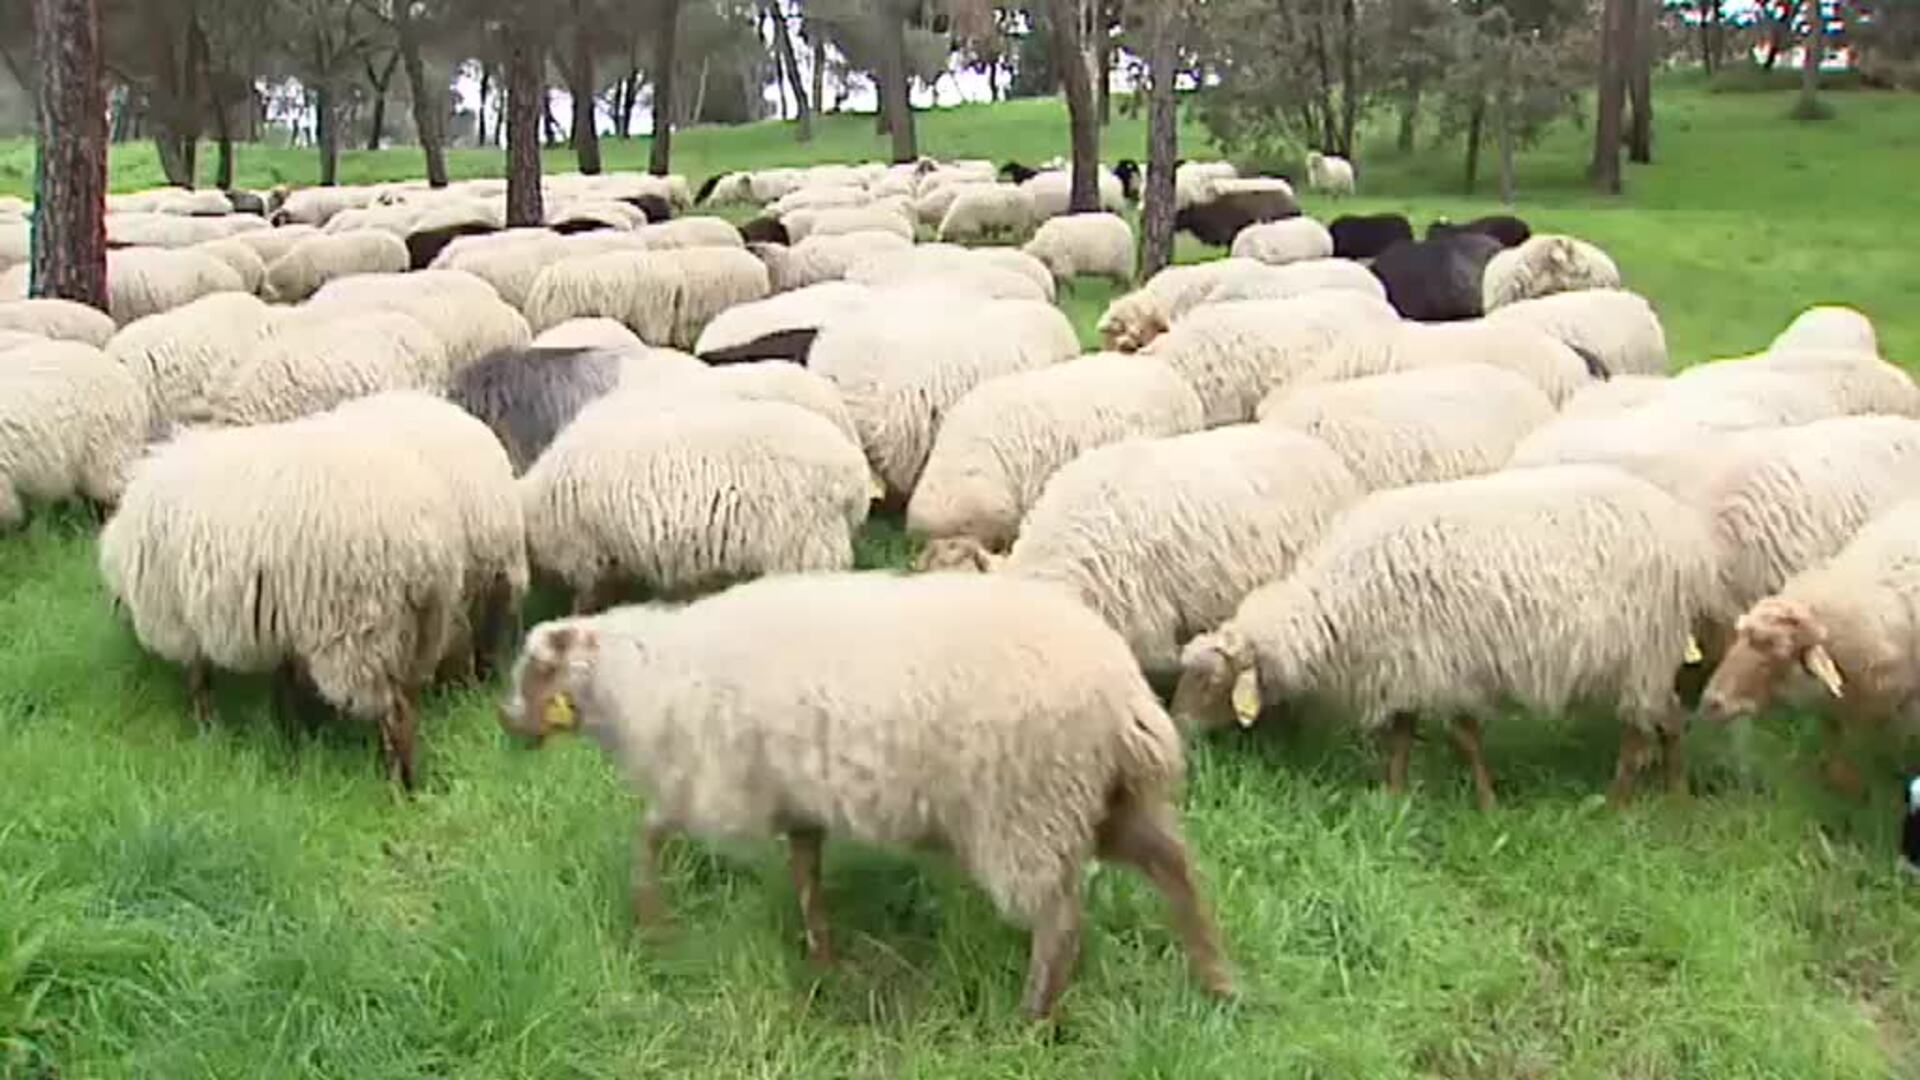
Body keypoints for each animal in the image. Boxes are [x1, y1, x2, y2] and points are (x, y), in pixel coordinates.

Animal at [98, 420, 462, 789]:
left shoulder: (183, 619)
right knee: (410, 703)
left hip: (362, 632)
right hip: (420, 630)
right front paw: (291, 735)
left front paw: (207, 728)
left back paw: (398, 786)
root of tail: (428, 541)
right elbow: (284, 683)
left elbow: (199, 679)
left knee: (395, 712)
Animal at [497, 571, 1232, 1019]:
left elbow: (649, 834)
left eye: (537, 671)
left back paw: (1032, 1020)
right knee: (1176, 868)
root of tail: (1125, 694)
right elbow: (805, 873)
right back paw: (1218, 979)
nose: (506, 723)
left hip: (1025, 811)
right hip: (1104, 800)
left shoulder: (712, 785)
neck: (640, 679)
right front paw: (824, 957)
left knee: (1061, 923)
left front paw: (653, 922)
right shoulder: (796, 799)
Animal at [1173, 464, 1726, 805]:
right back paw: (1670, 796)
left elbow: (1463, 738)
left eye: (1211, 682)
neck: (1336, 603)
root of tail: (1689, 536)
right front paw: (1393, 797)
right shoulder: (1408, 665)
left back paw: (1631, 802)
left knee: (1649, 725)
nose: (1176, 729)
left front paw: (1487, 803)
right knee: (1665, 719)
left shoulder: (1446, 663)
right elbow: (1401, 735)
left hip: (1645, 646)